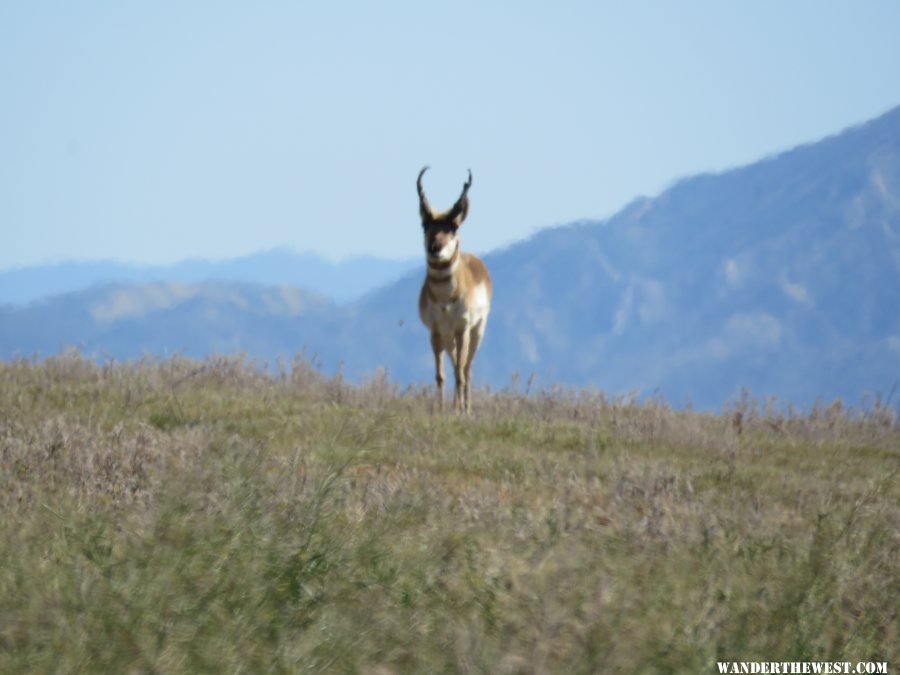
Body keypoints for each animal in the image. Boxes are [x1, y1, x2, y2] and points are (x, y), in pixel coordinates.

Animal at [416, 166, 492, 414]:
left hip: (476, 332)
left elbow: (460, 373)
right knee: (455, 366)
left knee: (466, 369)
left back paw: (466, 409)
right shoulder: (436, 332)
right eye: (425, 224)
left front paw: (460, 412)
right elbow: (441, 375)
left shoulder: (462, 329)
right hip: (450, 340)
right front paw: (441, 411)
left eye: (454, 226)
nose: (434, 248)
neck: (444, 299)